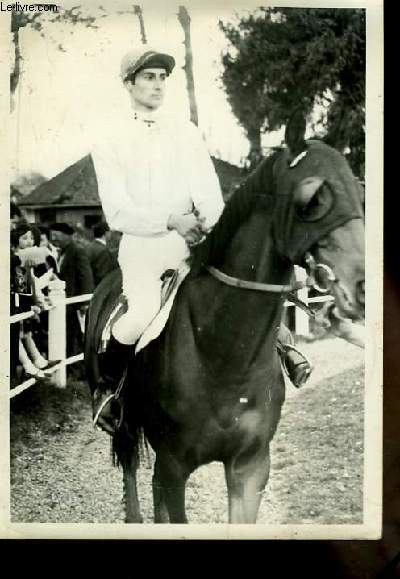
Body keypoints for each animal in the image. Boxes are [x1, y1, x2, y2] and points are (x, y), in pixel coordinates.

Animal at [85, 115, 366, 524]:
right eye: (312, 199)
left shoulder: (250, 465)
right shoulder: (174, 465)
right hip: (126, 426)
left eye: (360, 191)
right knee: (132, 470)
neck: (222, 354)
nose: (362, 284)